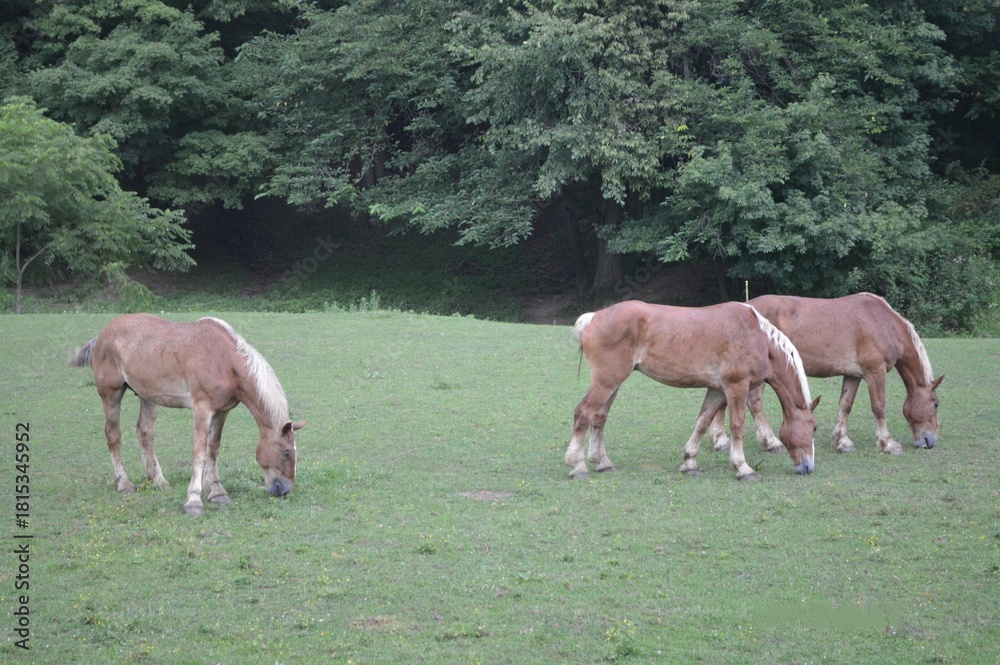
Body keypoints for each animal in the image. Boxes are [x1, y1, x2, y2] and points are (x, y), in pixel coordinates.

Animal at [70, 314, 305, 515]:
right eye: (286, 453)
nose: (285, 490)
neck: (223, 361)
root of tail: (102, 335)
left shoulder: (222, 412)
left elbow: (213, 450)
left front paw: (217, 491)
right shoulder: (202, 410)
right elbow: (199, 453)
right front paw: (194, 500)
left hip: (147, 397)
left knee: (145, 433)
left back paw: (159, 481)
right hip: (111, 393)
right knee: (113, 435)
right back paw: (124, 484)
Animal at [566, 300, 820, 481]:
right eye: (813, 428)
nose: (808, 467)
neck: (758, 337)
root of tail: (594, 317)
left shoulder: (717, 390)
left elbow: (702, 423)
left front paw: (689, 462)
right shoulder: (737, 386)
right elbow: (737, 426)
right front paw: (742, 467)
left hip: (612, 385)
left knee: (599, 418)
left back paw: (603, 462)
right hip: (606, 382)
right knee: (583, 414)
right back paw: (577, 466)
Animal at [709, 293, 942, 456]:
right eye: (936, 404)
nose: (930, 442)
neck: (881, 322)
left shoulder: (853, 375)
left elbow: (845, 405)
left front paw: (842, 441)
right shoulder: (875, 372)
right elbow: (879, 408)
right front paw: (888, 444)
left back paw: (721, 439)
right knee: (754, 403)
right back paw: (769, 442)